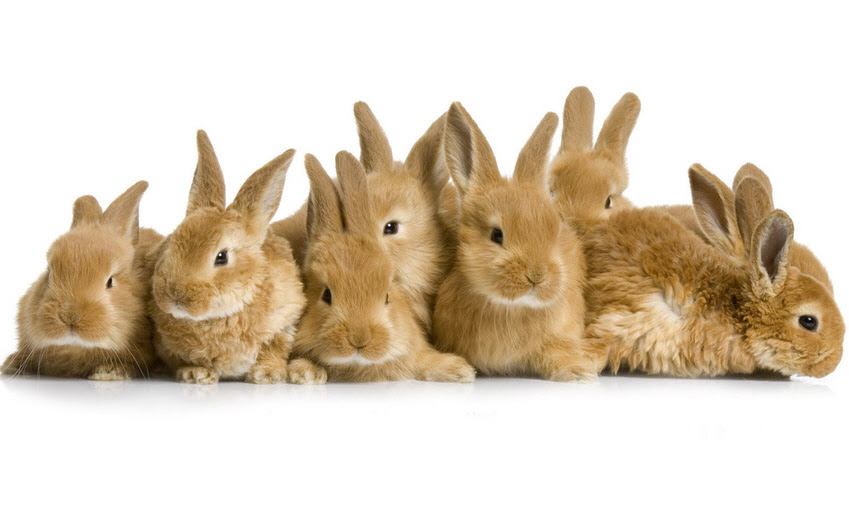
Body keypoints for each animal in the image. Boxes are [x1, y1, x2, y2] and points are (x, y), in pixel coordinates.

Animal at [150, 130, 306, 384]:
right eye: (172, 243)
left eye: (221, 257)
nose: (175, 296)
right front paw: (195, 374)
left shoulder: (285, 322)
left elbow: (274, 349)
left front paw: (267, 375)